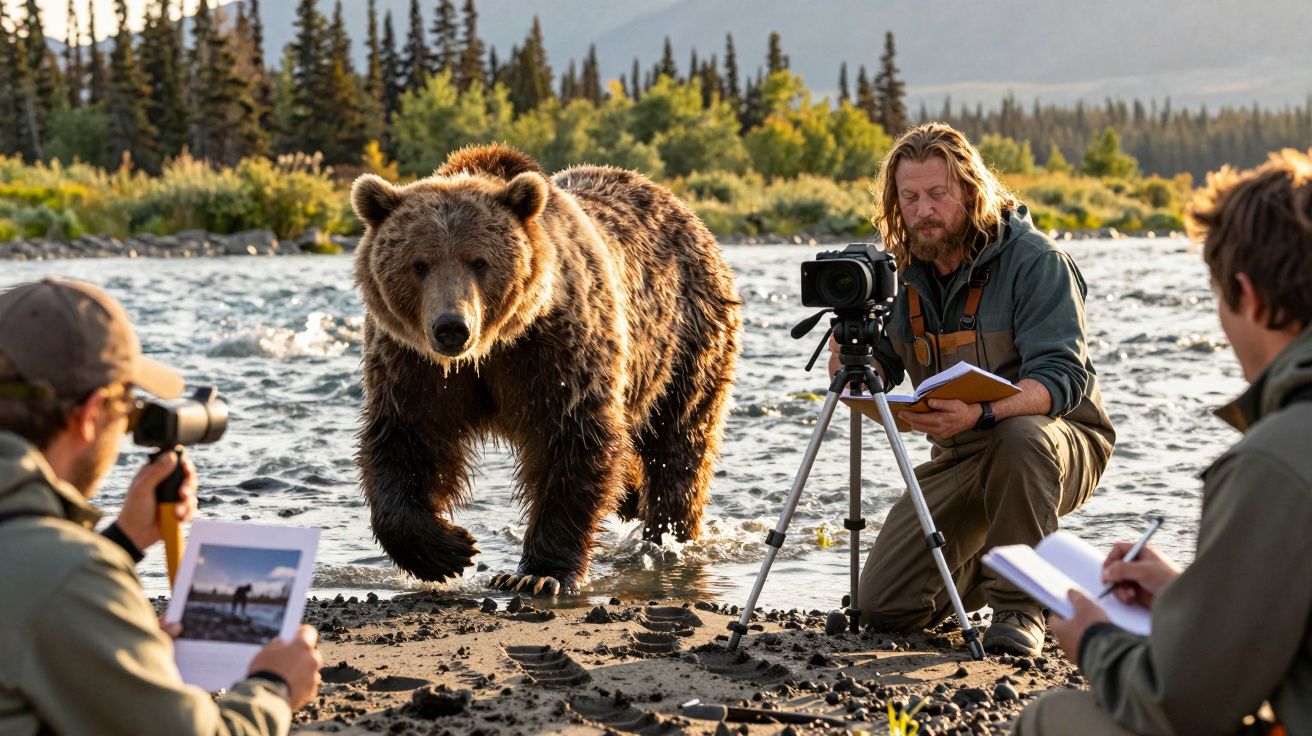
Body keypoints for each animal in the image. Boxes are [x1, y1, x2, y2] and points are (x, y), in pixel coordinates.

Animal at [351, 144, 742, 595]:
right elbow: (406, 438)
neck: (489, 350)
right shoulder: (413, 364)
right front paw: (447, 550)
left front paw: (538, 574)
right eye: (419, 264)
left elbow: (574, 440)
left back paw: (668, 536)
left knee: (681, 445)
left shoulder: (556, 351)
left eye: (479, 262)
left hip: (686, 340)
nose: (451, 326)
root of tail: (682, 209)